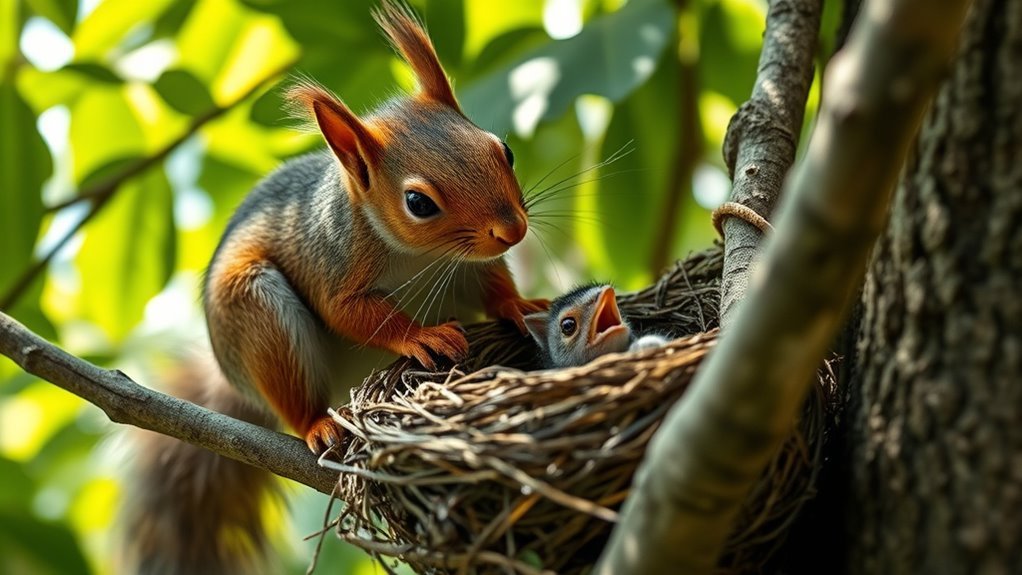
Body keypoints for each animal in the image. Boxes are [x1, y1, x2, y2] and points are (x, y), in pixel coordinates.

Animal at [120, 3, 547, 573]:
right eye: (419, 203)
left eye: (505, 150)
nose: (513, 230)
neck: (423, 257)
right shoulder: (334, 265)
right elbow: (353, 314)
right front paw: (420, 336)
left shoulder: (470, 269)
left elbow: (495, 286)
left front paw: (521, 305)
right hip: (254, 312)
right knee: (294, 396)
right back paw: (318, 426)